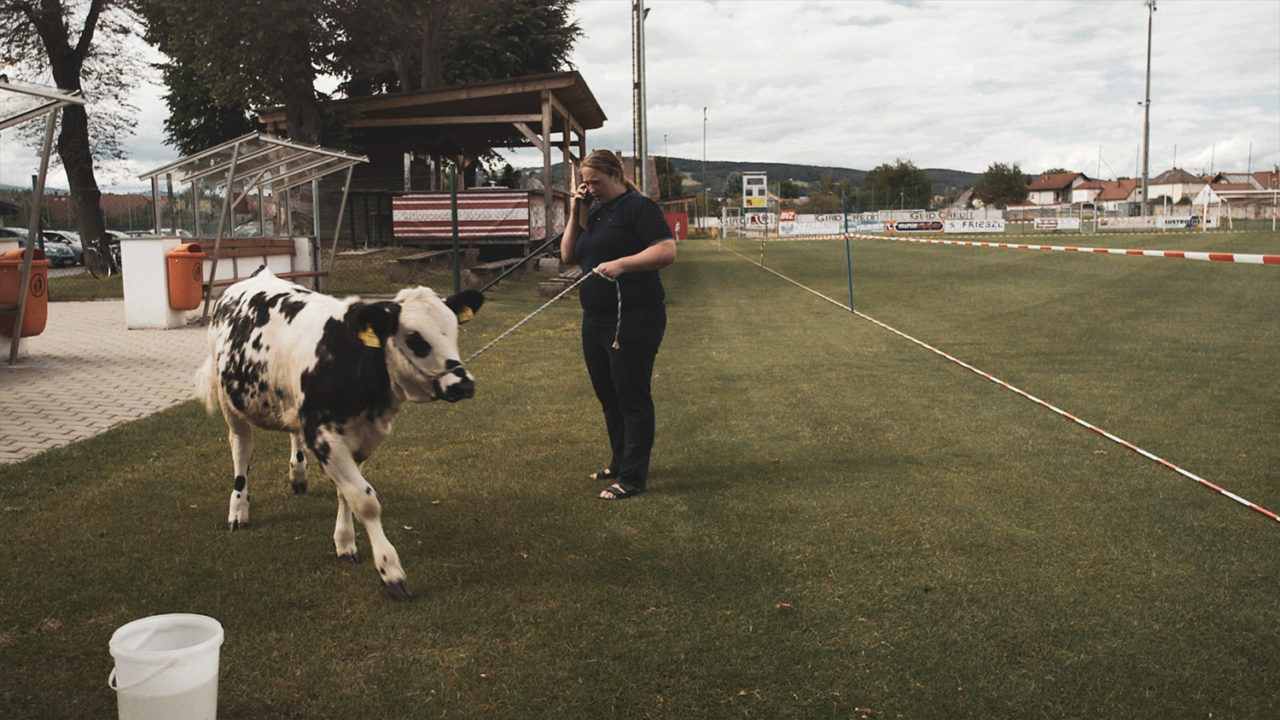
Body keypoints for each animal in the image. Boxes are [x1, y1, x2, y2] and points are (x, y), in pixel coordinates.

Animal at [194, 266, 481, 597]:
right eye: (415, 338)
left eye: (455, 330)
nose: (464, 384)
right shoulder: (323, 434)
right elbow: (365, 500)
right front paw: (390, 570)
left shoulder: (360, 437)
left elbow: (347, 493)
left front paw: (344, 541)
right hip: (230, 402)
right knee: (241, 448)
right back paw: (239, 509)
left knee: (292, 433)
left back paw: (298, 475)